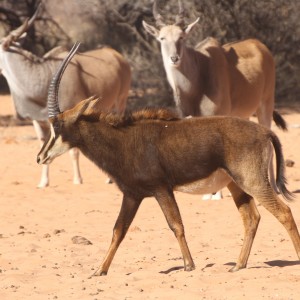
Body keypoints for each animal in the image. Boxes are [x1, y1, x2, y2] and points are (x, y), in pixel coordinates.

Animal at [0, 4, 131, 188]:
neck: (43, 75)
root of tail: (116, 55)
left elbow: (73, 151)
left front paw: (77, 179)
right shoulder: (39, 122)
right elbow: (44, 143)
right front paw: (43, 182)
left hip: (121, 102)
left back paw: (110, 178)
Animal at [37, 42, 300, 276]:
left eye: (57, 126)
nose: (40, 157)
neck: (122, 139)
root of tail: (264, 132)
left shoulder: (161, 189)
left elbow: (176, 225)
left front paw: (188, 265)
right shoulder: (132, 195)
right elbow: (118, 230)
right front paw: (99, 270)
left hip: (253, 182)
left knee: (284, 212)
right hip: (236, 185)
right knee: (252, 218)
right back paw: (238, 265)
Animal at [142, 1, 288, 200]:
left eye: (181, 37)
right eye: (162, 38)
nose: (174, 58)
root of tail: (261, 46)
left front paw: (216, 194)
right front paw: (209, 193)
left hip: (266, 103)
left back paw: (272, 186)